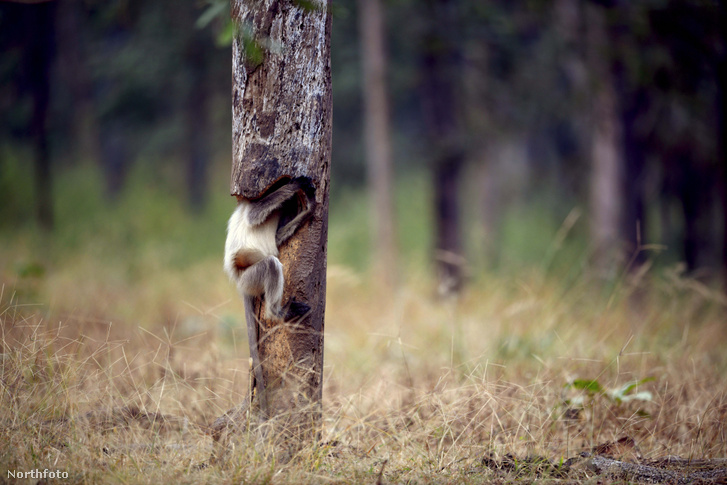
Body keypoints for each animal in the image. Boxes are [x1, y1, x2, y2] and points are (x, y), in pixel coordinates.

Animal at [223, 177, 316, 413]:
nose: (291, 207)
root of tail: (239, 281)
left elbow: (277, 237)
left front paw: (308, 208)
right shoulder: (249, 204)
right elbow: (253, 215)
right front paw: (295, 186)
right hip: (251, 276)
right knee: (271, 265)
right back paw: (278, 312)